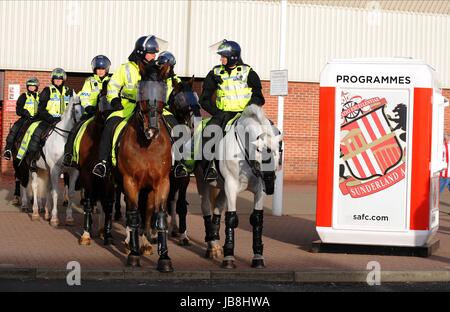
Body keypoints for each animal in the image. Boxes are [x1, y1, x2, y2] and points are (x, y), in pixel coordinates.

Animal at [30, 95, 84, 227]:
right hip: (34, 168)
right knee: (35, 186)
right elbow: (55, 193)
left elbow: (70, 193)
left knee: (47, 187)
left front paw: (69, 218)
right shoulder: (55, 170)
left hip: (47, 170)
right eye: (76, 111)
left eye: (83, 109)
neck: (65, 139)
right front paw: (54, 219)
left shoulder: (73, 171)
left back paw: (47, 213)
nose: (80, 124)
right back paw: (35, 213)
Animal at [114, 68, 174, 270]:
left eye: (163, 91)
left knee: (146, 211)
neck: (147, 145)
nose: (152, 130)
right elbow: (133, 214)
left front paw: (164, 258)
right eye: (142, 92)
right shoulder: (130, 182)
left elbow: (160, 216)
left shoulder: (162, 182)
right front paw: (133, 254)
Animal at [196, 104, 282, 268]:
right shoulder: (230, 186)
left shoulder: (258, 191)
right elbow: (231, 218)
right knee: (206, 207)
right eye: (259, 149)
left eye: (278, 150)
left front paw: (258, 257)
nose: (269, 182)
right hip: (202, 182)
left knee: (217, 208)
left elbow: (257, 219)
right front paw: (229, 258)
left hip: (222, 187)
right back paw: (211, 245)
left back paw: (214, 244)